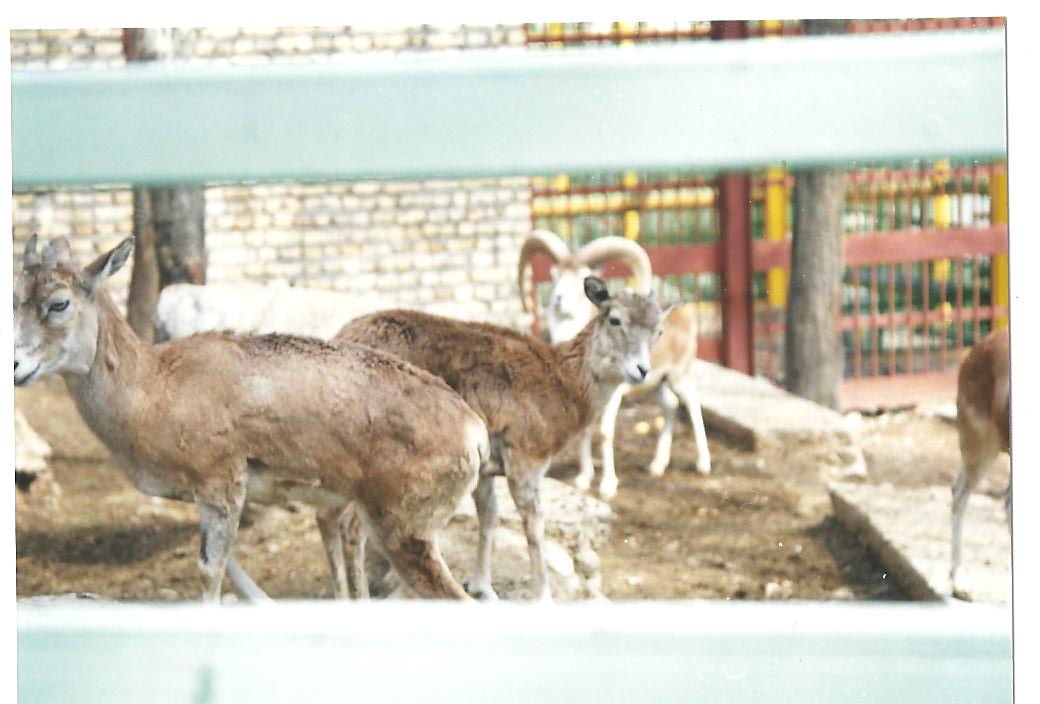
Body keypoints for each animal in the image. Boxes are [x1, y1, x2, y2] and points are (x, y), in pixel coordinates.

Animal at [14, 235, 489, 601]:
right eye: (14, 297)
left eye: (58, 303)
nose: (16, 366)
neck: (154, 390)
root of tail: (475, 432)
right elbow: (230, 569)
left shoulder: (220, 483)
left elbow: (210, 571)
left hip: (405, 531)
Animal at [517, 230, 711, 500]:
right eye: (555, 275)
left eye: (580, 278)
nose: (558, 299)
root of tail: (687, 316)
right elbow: (586, 431)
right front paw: (583, 479)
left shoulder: (615, 394)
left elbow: (605, 432)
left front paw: (608, 486)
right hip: (657, 384)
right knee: (670, 406)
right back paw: (657, 466)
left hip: (678, 376)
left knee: (692, 404)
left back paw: (703, 465)